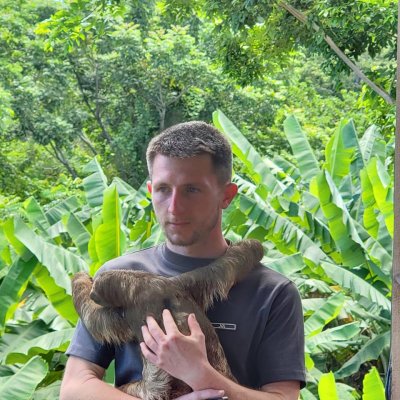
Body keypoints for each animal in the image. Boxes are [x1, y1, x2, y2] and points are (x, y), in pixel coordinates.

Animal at [72, 239, 264, 400]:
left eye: (96, 292)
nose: (93, 293)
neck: (140, 283)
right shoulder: (182, 282)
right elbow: (224, 267)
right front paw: (255, 246)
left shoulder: (133, 312)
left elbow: (95, 320)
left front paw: (79, 279)